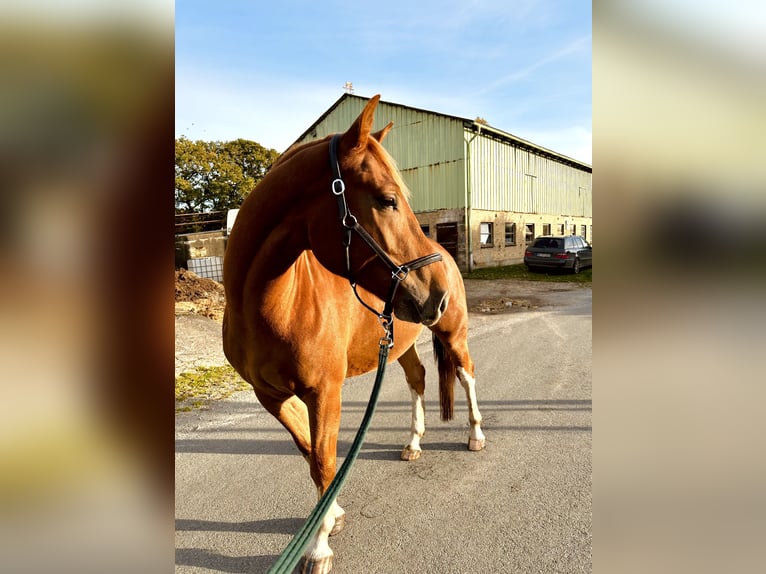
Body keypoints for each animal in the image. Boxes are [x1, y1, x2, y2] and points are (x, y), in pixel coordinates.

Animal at [225, 97, 484, 572]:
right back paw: (413, 443)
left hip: (452, 333)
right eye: (387, 200)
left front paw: (318, 547)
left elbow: (325, 463)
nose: (436, 292)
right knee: (418, 378)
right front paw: (331, 517)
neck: (275, 303)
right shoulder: (270, 395)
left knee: (465, 373)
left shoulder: (325, 392)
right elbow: (310, 454)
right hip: (400, 342)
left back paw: (476, 435)